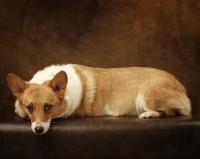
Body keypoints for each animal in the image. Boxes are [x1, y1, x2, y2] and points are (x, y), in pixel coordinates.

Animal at [6, 64, 191, 134]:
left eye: (48, 107)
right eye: (30, 107)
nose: (38, 130)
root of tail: (182, 87)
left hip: (145, 97)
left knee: (173, 111)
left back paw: (149, 114)